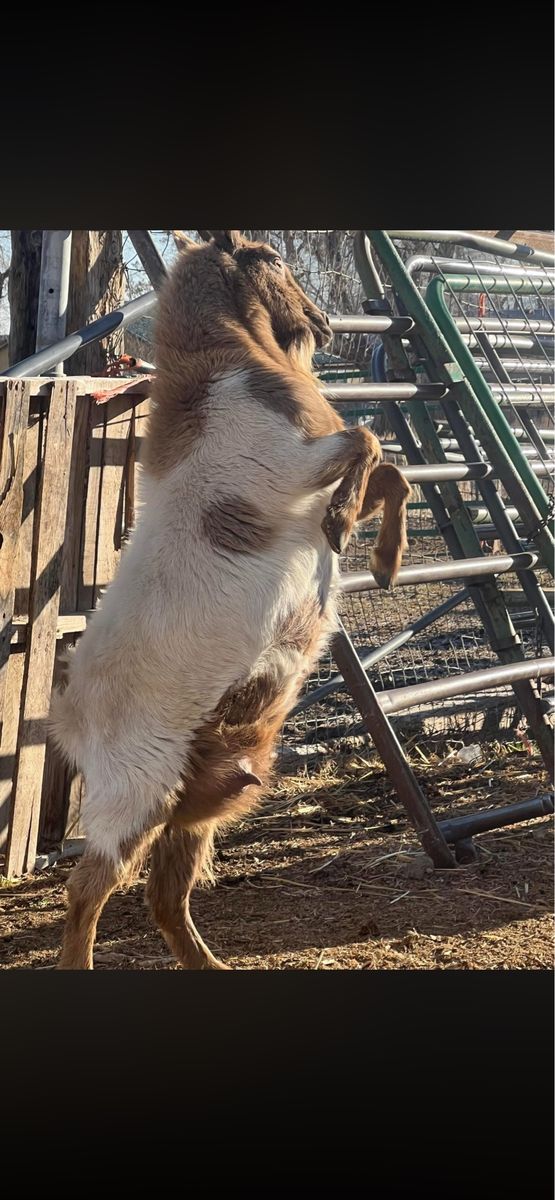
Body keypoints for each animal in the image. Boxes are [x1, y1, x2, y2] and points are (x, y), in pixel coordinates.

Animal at [50, 230, 411, 969]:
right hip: (135, 791)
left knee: (164, 896)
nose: (325, 322)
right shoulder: (297, 465)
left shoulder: (311, 474)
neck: (229, 363)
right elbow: (368, 442)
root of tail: (69, 717)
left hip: (193, 802)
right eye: (268, 256)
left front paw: (384, 561)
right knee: (86, 891)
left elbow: (390, 473)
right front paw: (348, 529)